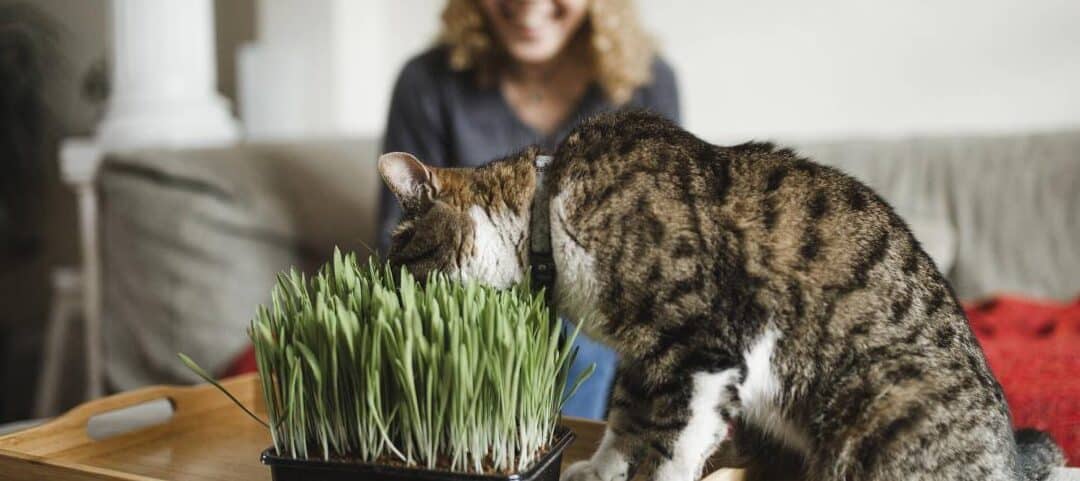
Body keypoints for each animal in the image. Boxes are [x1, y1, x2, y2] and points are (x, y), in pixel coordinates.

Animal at [380, 110, 1062, 477]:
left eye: (401, 255)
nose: (389, 288)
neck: (551, 209)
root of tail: (1007, 457)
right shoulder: (644, 354)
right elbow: (626, 418)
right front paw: (599, 469)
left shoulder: (700, 345)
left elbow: (675, 439)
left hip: (883, 399)